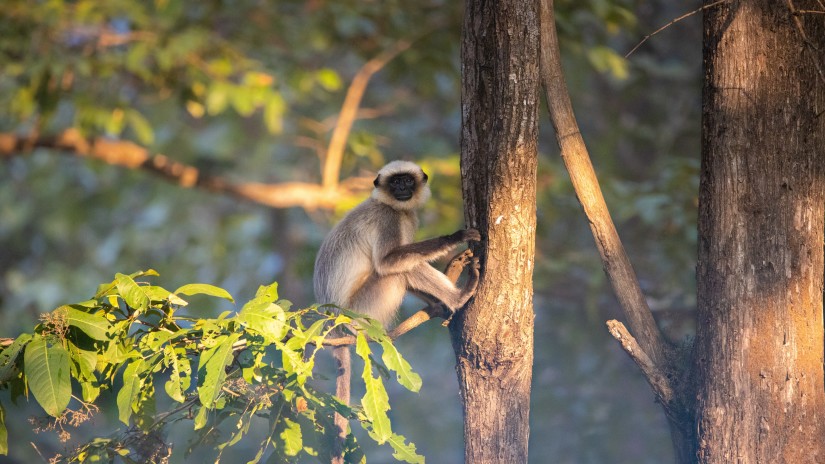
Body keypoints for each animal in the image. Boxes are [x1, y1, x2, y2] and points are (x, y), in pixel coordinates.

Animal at [312, 160, 480, 464]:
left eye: (407, 181)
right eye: (395, 182)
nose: (402, 188)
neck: (387, 203)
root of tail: (335, 323)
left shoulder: (406, 218)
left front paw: (441, 302)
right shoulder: (389, 218)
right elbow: (390, 262)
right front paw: (456, 238)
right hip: (364, 310)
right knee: (398, 271)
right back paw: (460, 296)